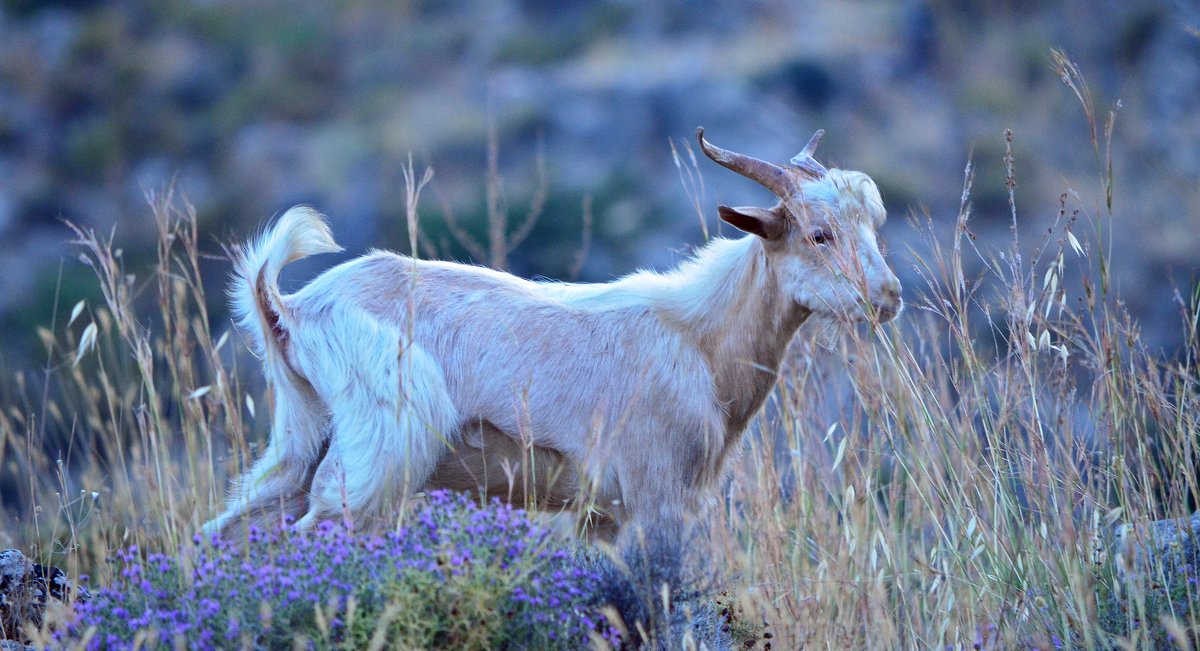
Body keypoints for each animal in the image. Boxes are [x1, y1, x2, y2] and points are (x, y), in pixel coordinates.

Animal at [204, 127, 902, 545]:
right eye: (818, 234)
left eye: (874, 225)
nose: (888, 297)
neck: (699, 339)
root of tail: (293, 306)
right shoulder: (654, 500)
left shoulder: (600, 519)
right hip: (378, 450)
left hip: (299, 443)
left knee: (228, 530)